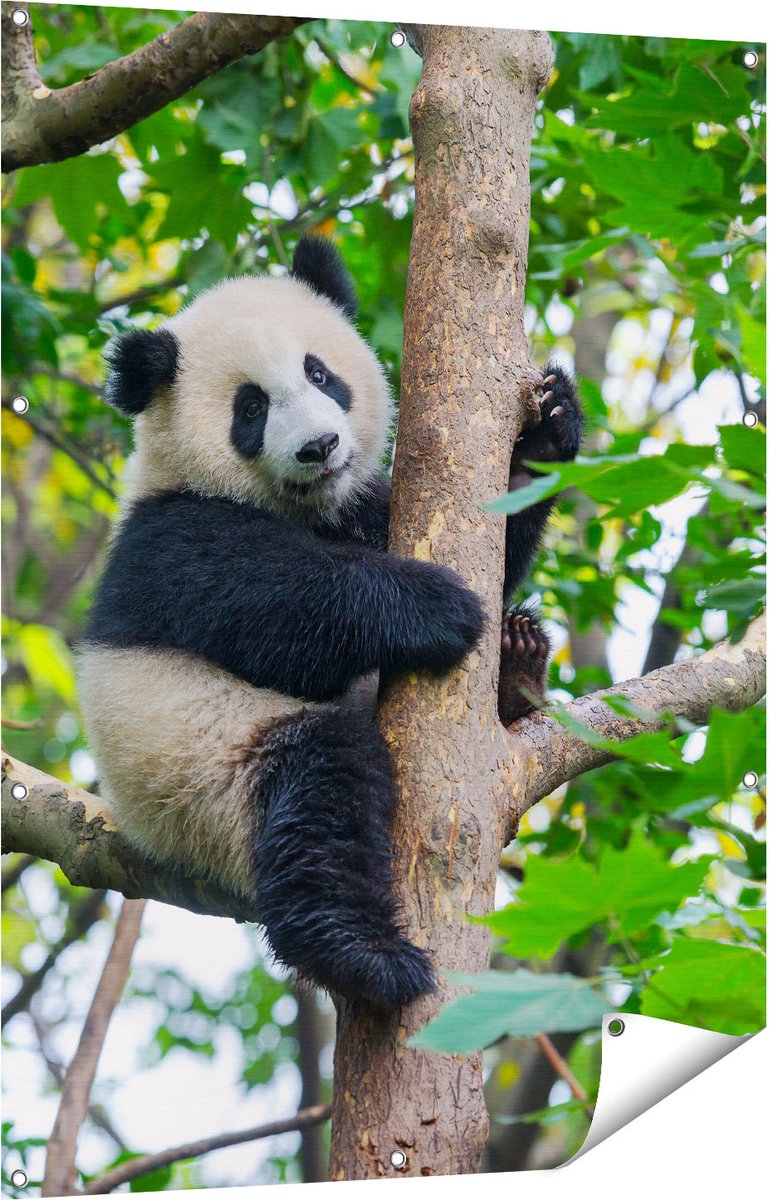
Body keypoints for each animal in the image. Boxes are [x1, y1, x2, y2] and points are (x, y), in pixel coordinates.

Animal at [78, 236, 583, 1008]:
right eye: (250, 407)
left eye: (320, 373)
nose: (318, 447)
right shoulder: (169, 541)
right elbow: (276, 609)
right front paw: (436, 607)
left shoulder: (361, 507)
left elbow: (497, 541)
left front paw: (547, 430)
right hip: (205, 779)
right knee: (319, 793)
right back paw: (364, 955)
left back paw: (517, 661)